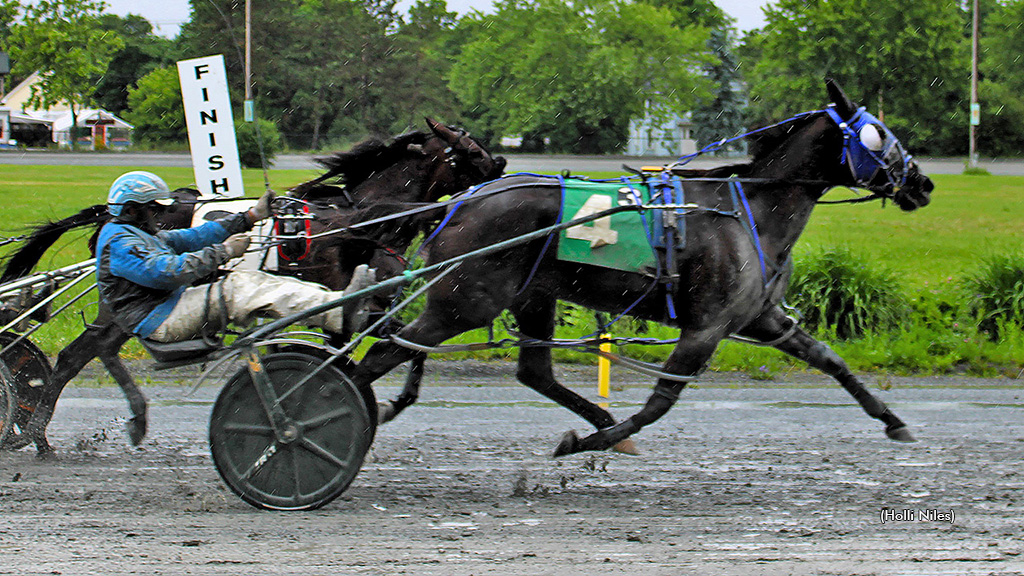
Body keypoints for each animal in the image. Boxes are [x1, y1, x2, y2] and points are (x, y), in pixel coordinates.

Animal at [0, 119, 503, 453]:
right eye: (468, 148)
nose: (500, 164)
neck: (357, 219)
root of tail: (108, 213)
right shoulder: (360, 299)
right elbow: (387, 343)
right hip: (125, 307)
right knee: (84, 353)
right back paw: (44, 431)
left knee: (78, 356)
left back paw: (37, 434)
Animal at [352, 79, 937, 453]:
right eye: (880, 135)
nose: (923, 183)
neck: (749, 211)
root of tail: (459, 202)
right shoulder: (706, 327)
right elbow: (661, 401)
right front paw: (585, 444)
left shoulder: (760, 317)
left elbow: (829, 359)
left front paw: (894, 421)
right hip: (464, 301)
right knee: (382, 353)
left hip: (531, 295)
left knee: (533, 371)